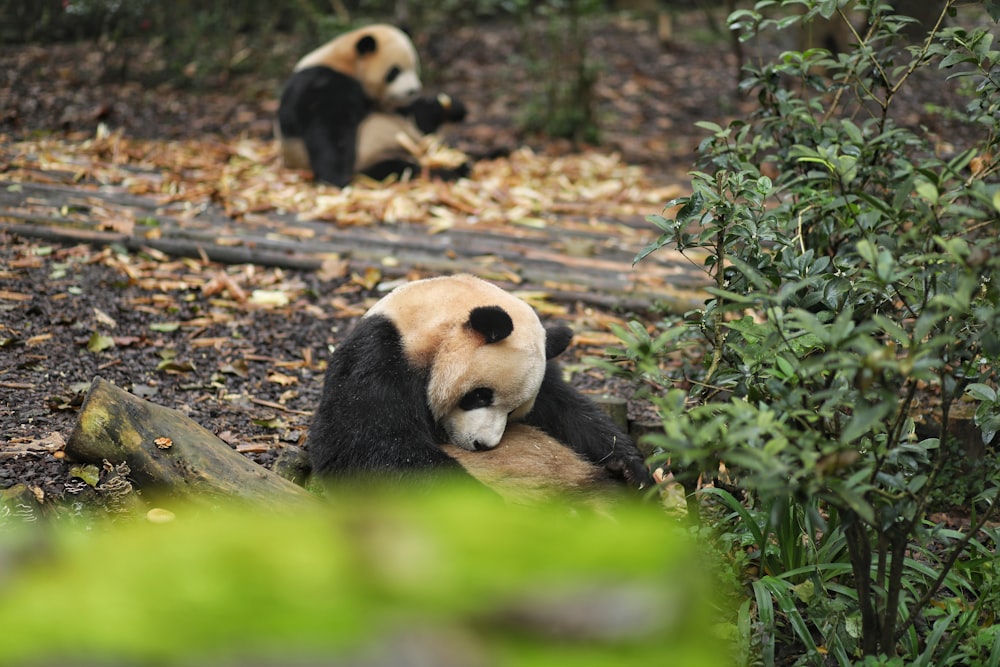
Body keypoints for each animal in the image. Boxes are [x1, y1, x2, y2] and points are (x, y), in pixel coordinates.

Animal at [310, 274, 656, 504]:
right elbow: (369, 446)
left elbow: (567, 409)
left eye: (514, 411)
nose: (483, 445)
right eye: (479, 396)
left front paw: (631, 469)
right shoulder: (379, 357)